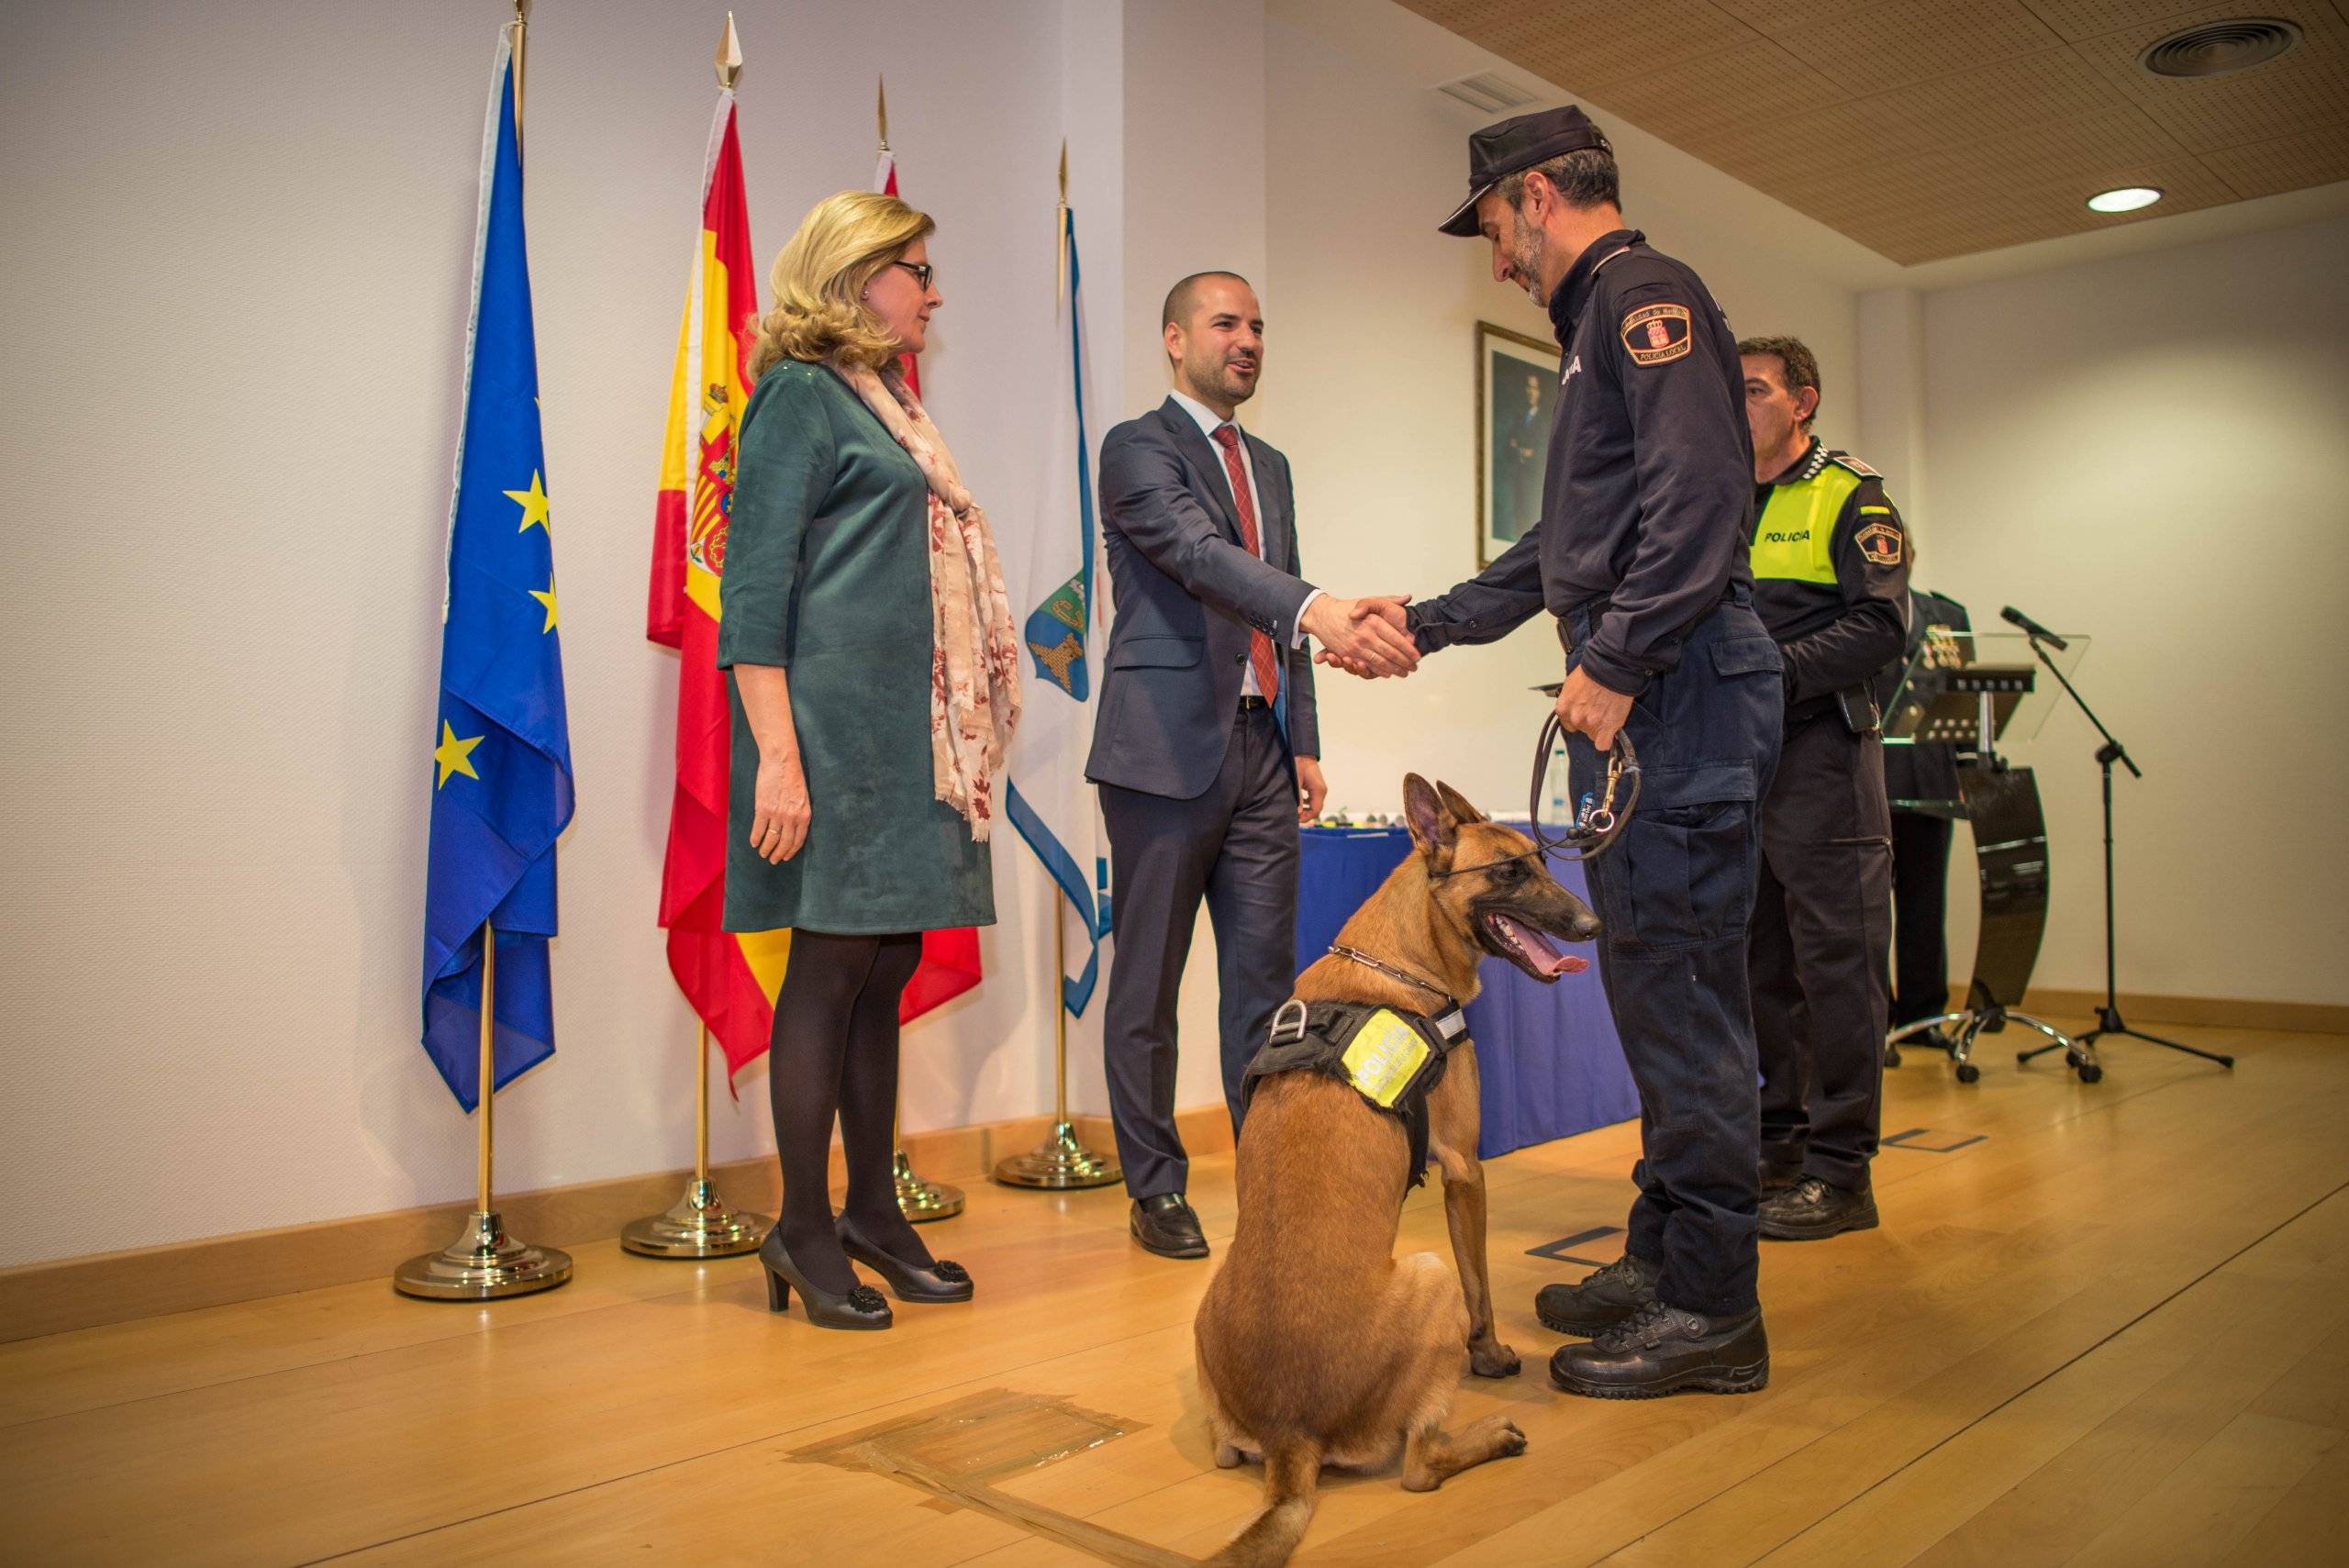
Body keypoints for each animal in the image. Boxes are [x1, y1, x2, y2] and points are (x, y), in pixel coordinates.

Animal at [1202, 774, 1607, 1568]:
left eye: (1541, 861)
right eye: (1507, 872)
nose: (1592, 921)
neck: (1395, 958)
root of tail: (1291, 1437)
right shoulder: (1466, 1170)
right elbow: (1482, 1286)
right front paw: (1490, 1354)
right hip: (1428, 1270)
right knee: (1421, 1466)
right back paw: (1489, 1435)